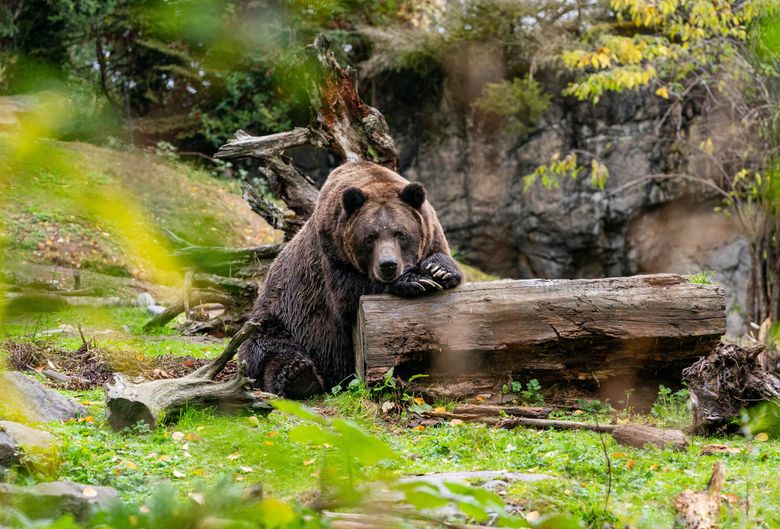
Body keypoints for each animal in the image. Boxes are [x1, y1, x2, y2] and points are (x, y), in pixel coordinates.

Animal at [241, 161, 460, 396]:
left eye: (400, 233)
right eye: (370, 236)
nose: (388, 265)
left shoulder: (432, 235)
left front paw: (439, 269)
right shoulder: (332, 254)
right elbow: (350, 294)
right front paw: (415, 280)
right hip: (279, 318)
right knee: (267, 349)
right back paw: (297, 376)